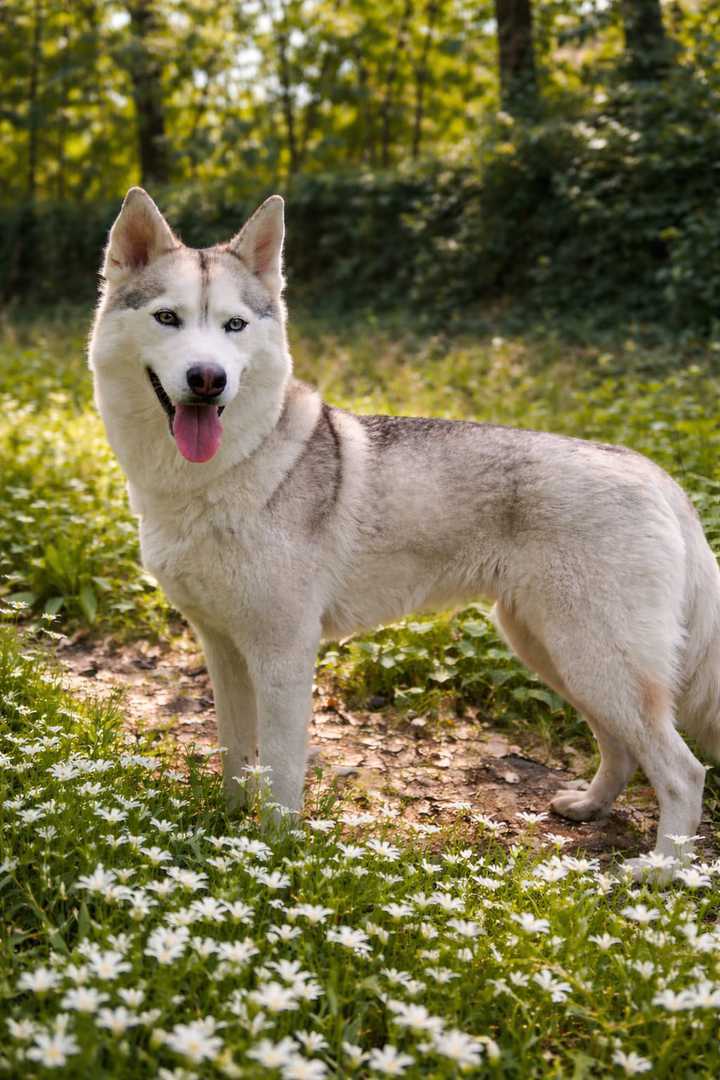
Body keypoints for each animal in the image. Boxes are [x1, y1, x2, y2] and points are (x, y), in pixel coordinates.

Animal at [89, 187, 720, 872]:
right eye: (168, 318)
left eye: (234, 326)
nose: (209, 380)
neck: (216, 477)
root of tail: (653, 471)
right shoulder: (223, 649)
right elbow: (237, 758)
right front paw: (228, 830)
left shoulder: (284, 655)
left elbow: (279, 775)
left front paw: (273, 855)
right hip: (558, 656)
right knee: (624, 748)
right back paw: (589, 808)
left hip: (595, 661)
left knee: (683, 772)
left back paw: (661, 872)